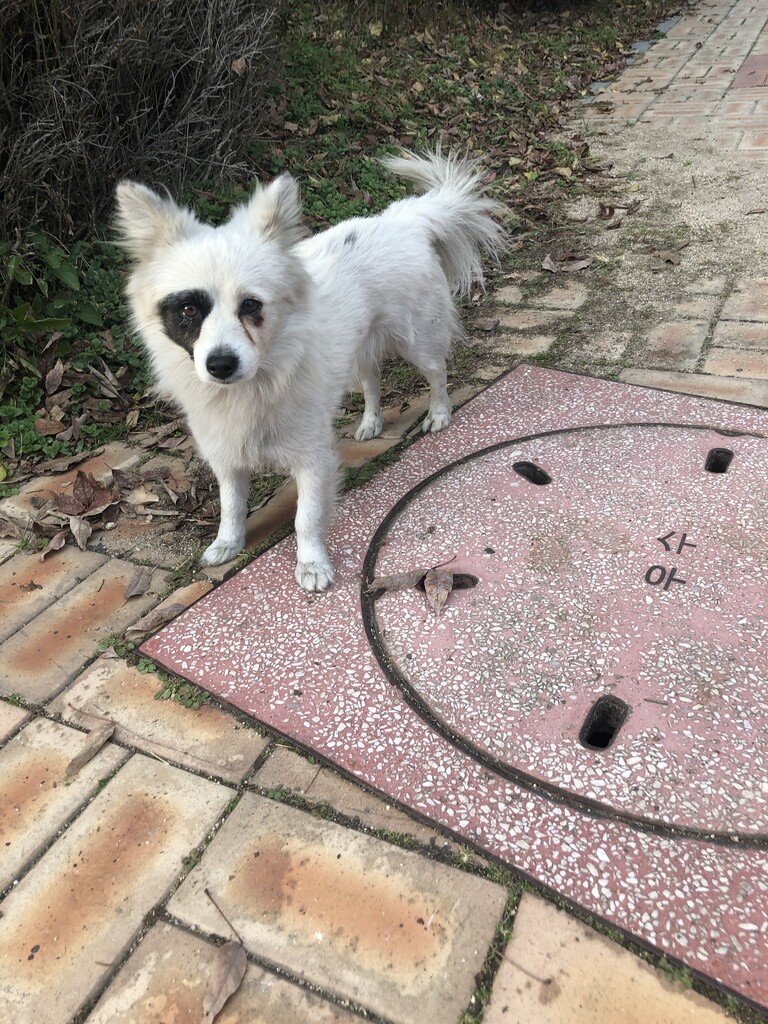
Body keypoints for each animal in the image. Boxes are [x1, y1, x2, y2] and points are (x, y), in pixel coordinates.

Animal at [115, 149, 505, 591]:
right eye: (188, 310)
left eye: (251, 305)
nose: (220, 364)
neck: (255, 383)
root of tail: (401, 220)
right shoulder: (226, 453)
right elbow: (231, 504)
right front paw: (227, 542)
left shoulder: (312, 458)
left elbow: (306, 516)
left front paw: (312, 564)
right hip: (359, 349)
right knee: (371, 379)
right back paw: (371, 422)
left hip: (416, 339)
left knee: (436, 371)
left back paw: (438, 413)